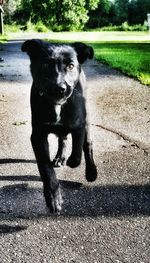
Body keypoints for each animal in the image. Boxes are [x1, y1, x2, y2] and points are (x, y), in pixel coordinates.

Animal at [22, 38, 97, 212]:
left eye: (70, 66)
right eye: (45, 65)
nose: (60, 88)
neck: (58, 105)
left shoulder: (79, 125)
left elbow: (77, 152)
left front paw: (71, 162)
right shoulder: (37, 135)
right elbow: (45, 168)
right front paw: (52, 197)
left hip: (87, 119)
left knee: (87, 144)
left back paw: (91, 172)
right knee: (62, 139)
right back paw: (59, 157)